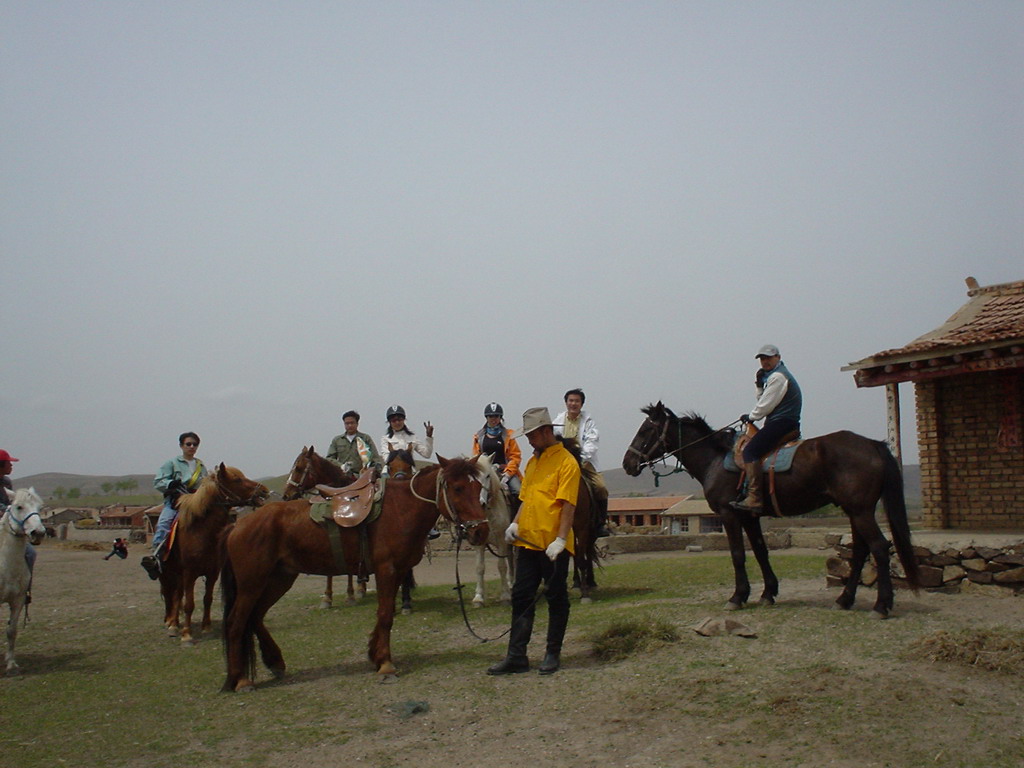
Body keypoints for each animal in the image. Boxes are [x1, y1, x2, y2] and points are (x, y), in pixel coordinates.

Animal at [155, 466, 268, 647]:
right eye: (237, 480)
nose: (263, 490)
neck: (202, 533)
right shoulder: (189, 573)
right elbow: (189, 604)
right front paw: (187, 634)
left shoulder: (213, 572)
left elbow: (207, 599)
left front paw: (206, 627)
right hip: (167, 573)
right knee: (169, 595)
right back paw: (172, 624)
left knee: (176, 595)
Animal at [219, 454, 487, 696]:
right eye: (458, 487)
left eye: (478, 487)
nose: (480, 531)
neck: (402, 509)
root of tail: (237, 525)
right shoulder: (387, 569)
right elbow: (385, 615)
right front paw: (386, 664)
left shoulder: (399, 571)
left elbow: (385, 613)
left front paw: (376, 655)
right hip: (252, 584)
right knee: (236, 622)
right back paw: (241, 680)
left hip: (279, 580)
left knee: (255, 617)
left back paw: (274, 662)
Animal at [475, 456, 516, 606]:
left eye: (487, 475)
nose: (480, 503)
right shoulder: (479, 541)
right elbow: (480, 567)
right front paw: (478, 597)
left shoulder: (502, 540)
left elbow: (501, 566)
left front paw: (505, 596)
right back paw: (511, 583)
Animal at [618, 403, 925, 618]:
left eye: (645, 430)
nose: (627, 464)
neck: (715, 459)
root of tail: (873, 445)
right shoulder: (749, 516)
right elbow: (761, 551)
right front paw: (767, 593)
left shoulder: (729, 515)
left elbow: (738, 555)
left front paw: (737, 597)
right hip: (855, 511)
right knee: (861, 550)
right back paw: (844, 600)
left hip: (860, 511)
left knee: (880, 548)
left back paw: (881, 605)